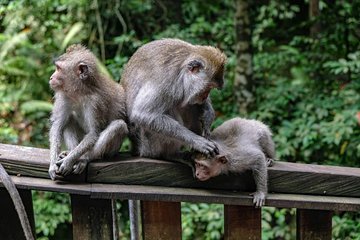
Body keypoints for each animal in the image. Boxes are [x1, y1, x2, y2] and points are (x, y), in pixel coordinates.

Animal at [47, 44, 127, 180]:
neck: (80, 92)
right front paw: (53, 165)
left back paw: (84, 158)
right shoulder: (63, 96)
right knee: (69, 120)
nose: (51, 77)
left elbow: (93, 133)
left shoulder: (95, 102)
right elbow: (57, 126)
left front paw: (68, 161)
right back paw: (70, 152)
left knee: (119, 126)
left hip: (113, 150)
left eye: (58, 69)